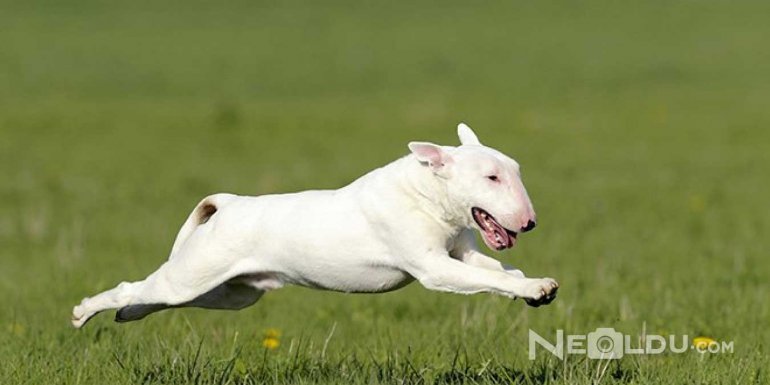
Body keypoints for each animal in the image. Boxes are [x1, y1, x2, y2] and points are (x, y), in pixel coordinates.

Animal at [69, 124, 556, 328]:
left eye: (514, 170)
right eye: (491, 178)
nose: (530, 222)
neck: (426, 194)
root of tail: (228, 205)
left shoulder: (463, 251)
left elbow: (497, 270)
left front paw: (537, 287)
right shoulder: (433, 267)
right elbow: (484, 277)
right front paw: (534, 288)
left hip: (233, 293)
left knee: (157, 298)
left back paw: (128, 315)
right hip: (192, 274)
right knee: (136, 286)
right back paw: (84, 312)